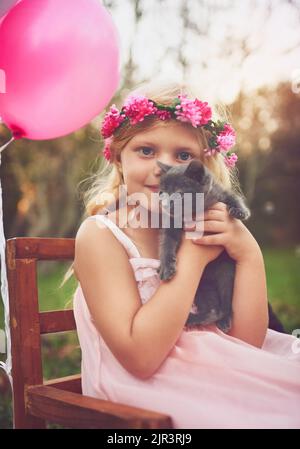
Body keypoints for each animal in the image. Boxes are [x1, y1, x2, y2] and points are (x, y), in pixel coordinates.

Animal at [157, 158, 251, 332]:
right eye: (161, 193)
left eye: (178, 193)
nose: (165, 205)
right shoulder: (171, 223)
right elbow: (166, 241)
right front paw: (166, 267)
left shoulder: (221, 192)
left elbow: (233, 197)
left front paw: (241, 211)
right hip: (201, 286)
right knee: (213, 309)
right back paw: (192, 319)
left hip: (226, 274)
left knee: (225, 304)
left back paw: (223, 320)